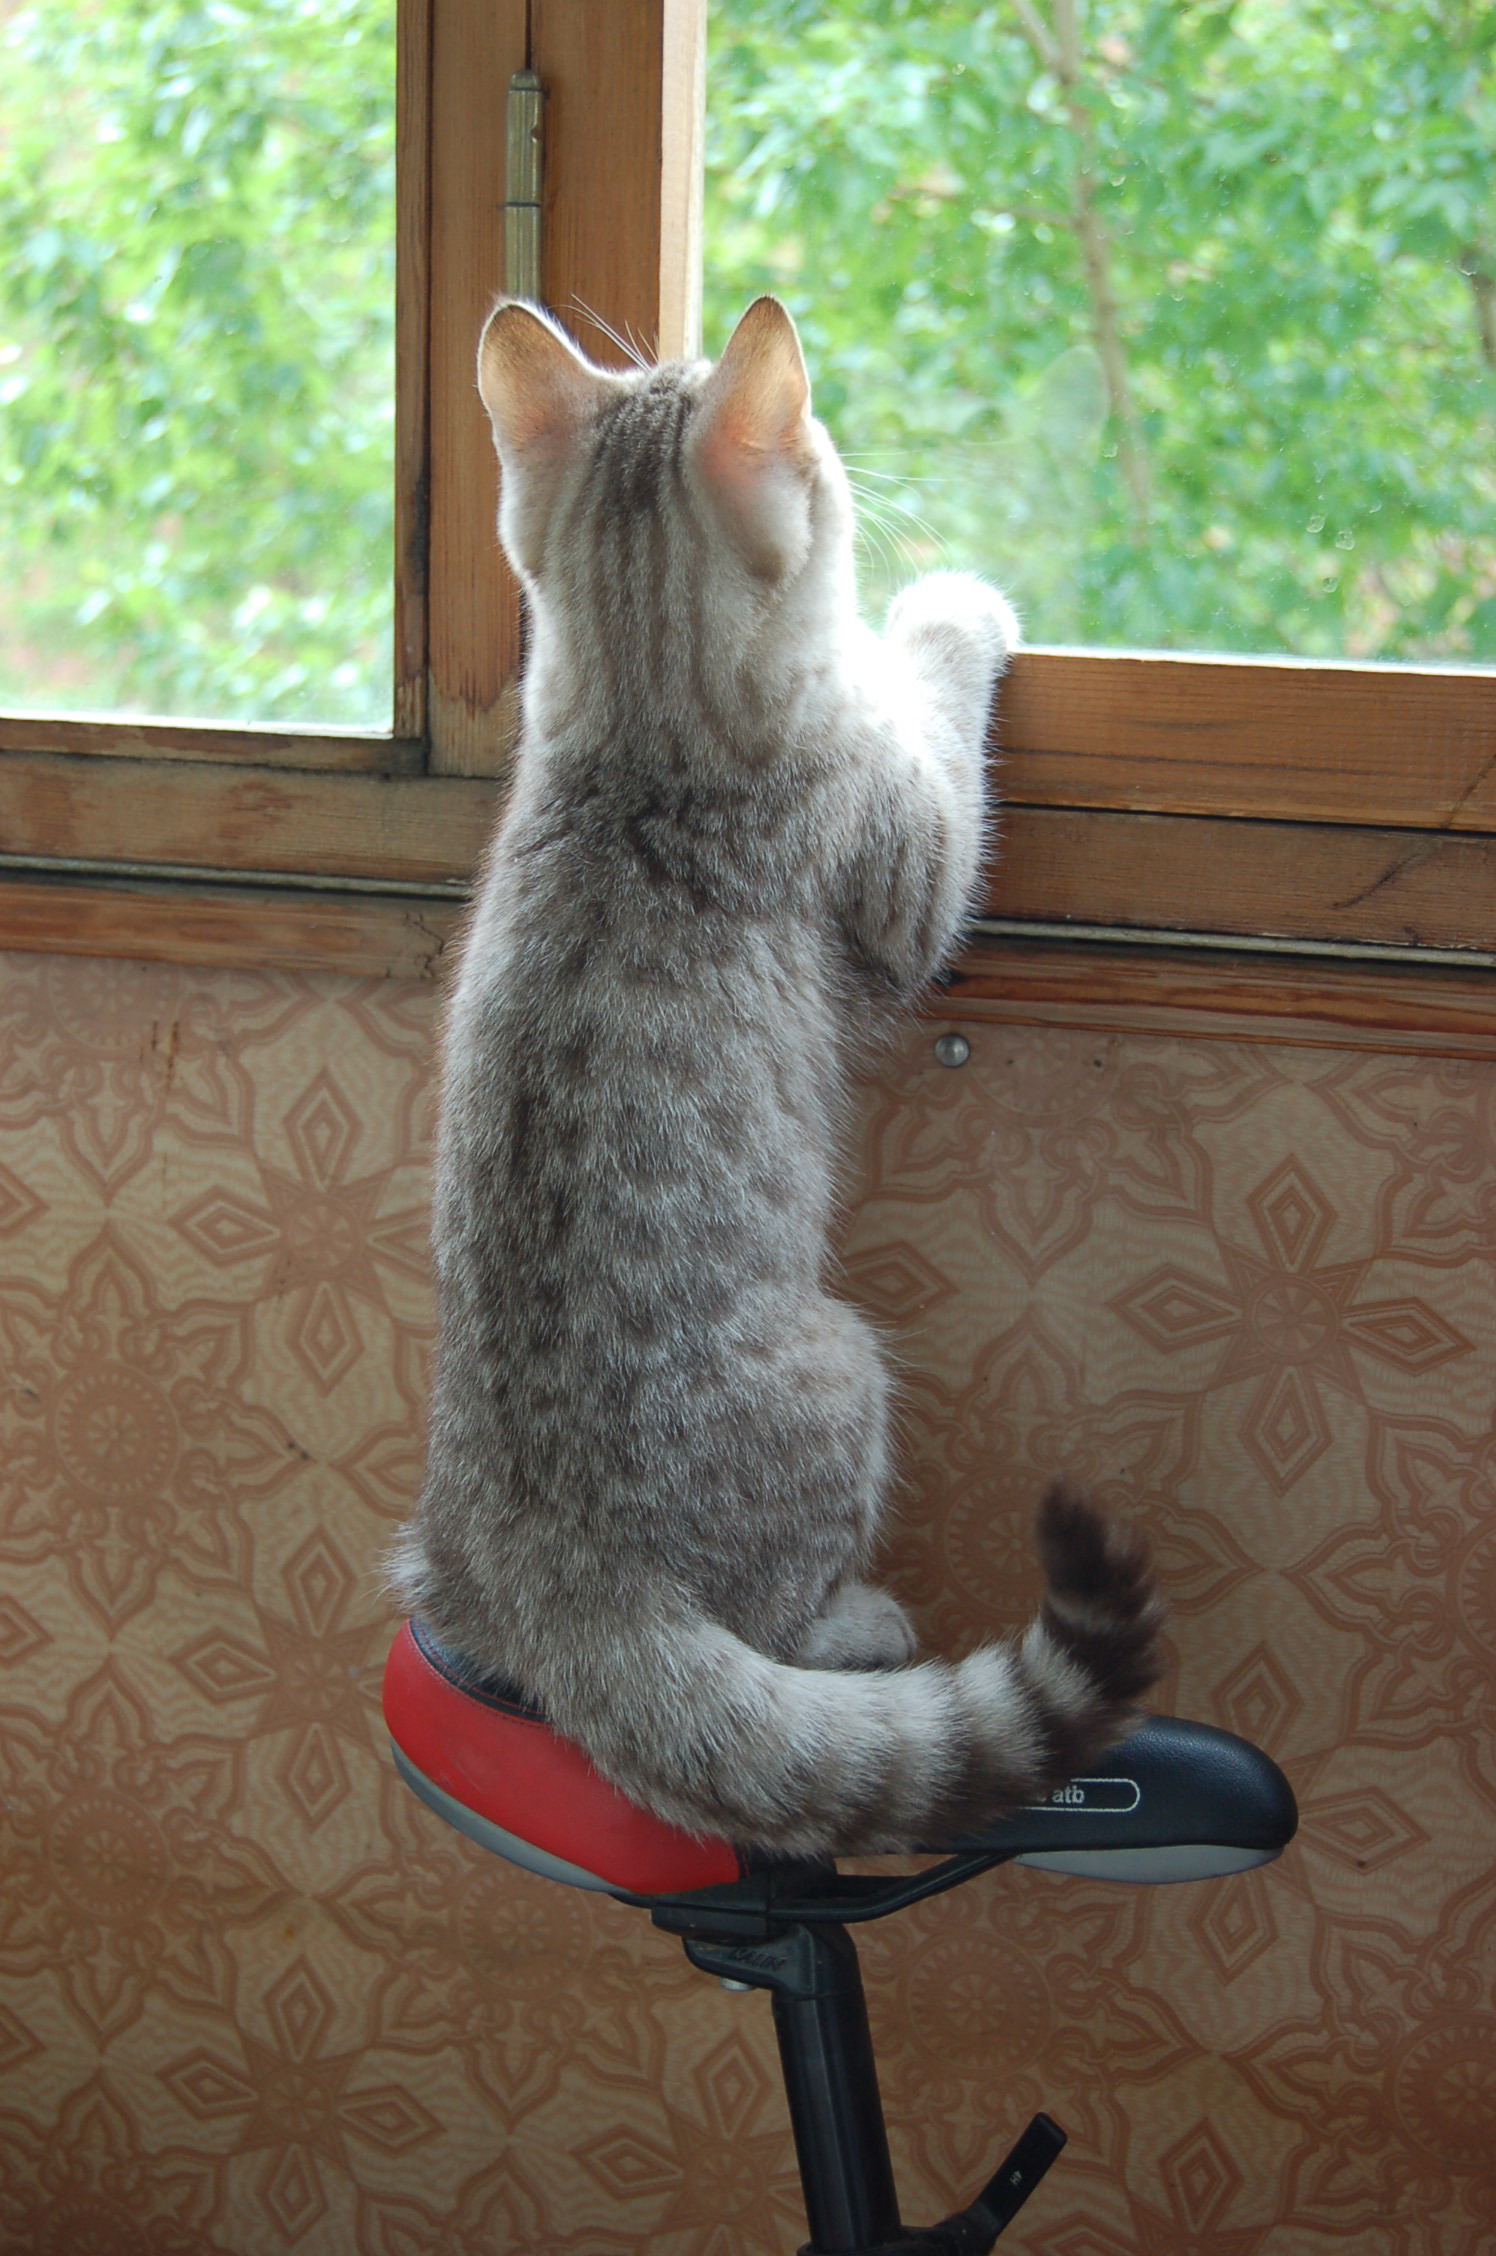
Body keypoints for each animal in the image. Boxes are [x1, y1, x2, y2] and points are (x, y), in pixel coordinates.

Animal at [391, 295, 1162, 1857]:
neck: (634, 730)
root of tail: (552, 1577)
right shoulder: (907, 860)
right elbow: (928, 700)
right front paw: (951, 607)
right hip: (843, 1367)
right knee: (779, 1627)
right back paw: (855, 1627)